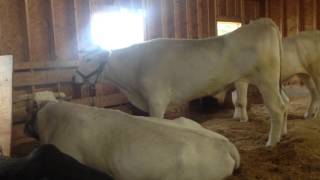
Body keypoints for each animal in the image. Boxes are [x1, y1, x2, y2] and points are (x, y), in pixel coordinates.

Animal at [74, 17, 286, 146]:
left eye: (89, 59)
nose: (74, 78)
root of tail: (263, 22)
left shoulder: (156, 99)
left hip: (266, 80)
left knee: (276, 109)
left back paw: (271, 143)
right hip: (273, 83)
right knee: (284, 105)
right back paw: (282, 135)